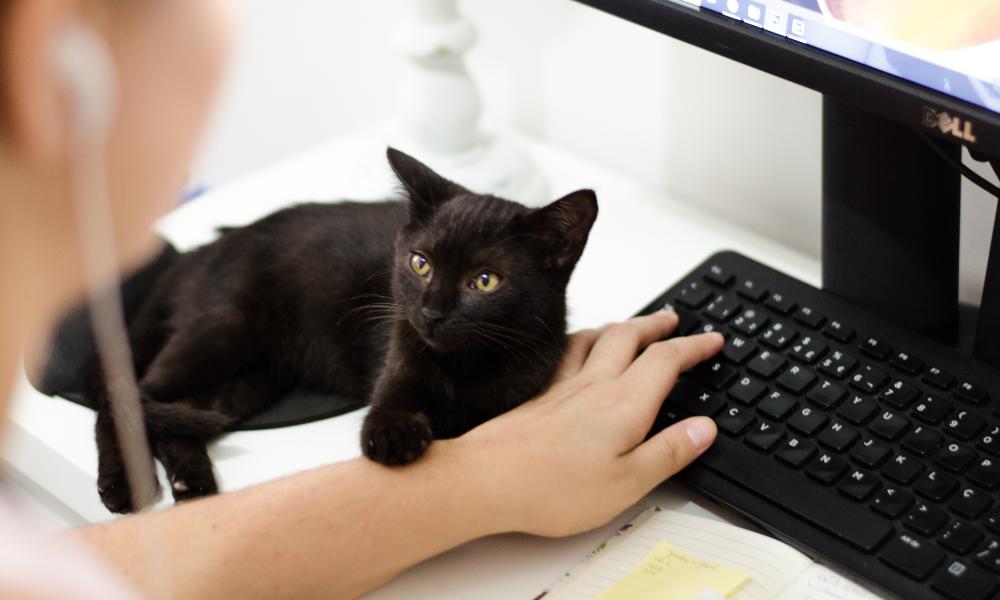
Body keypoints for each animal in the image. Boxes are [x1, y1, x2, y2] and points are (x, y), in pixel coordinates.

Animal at [88, 149, 592, 510]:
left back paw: (191, 483)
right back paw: (122, 485)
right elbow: (386, 413)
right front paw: (395, 437)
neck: (464, 367)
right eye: (420, 264)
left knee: (173, 414)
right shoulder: (399, 358)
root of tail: (200, 250)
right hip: (224, 328)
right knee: (126, 397)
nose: (430, 313)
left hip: (249, 382)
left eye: (485, 281)